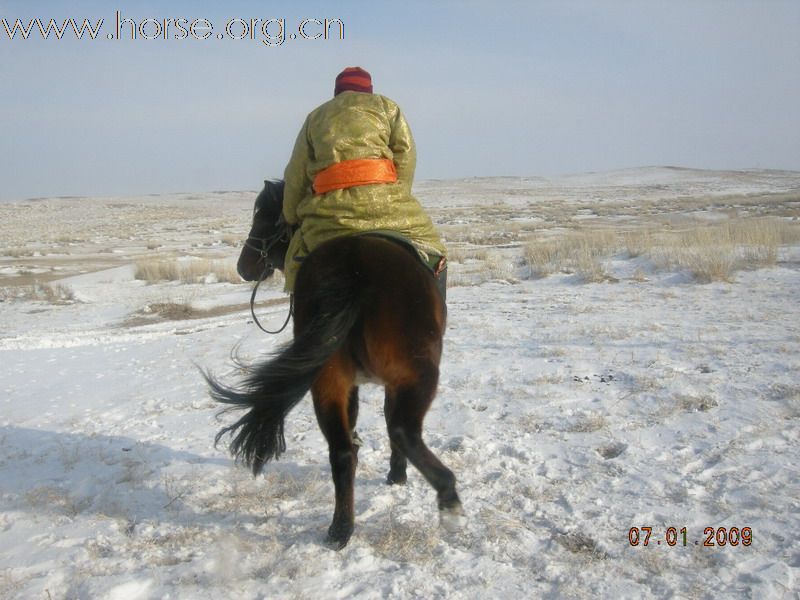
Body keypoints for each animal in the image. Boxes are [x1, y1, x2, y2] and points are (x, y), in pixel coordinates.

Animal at [206, 178, 462, 548]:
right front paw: (397, 475)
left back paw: (340, 529)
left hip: (327, 380)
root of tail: (353, 268)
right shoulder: (390, 383)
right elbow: (390, 427)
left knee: (342, 452)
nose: (244, 266)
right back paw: (448, 498)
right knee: (403, 431)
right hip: (416, 374)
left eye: (264, 218)